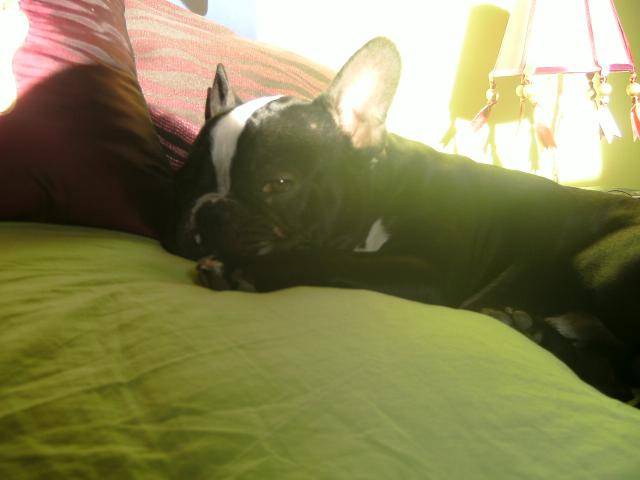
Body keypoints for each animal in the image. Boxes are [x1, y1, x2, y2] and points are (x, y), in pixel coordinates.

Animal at [165, 37, 640, 403]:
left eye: (279, 183)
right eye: (184, 181)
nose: (209, 210)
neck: (378, 188)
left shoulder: (426, 271)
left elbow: (331, 260)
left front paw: (245, 268)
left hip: (598, 264)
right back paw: (529, 328)